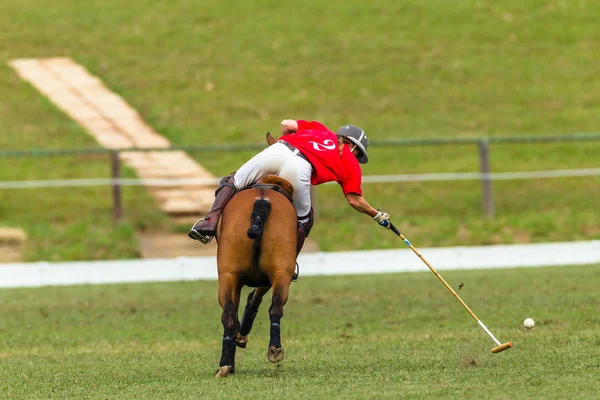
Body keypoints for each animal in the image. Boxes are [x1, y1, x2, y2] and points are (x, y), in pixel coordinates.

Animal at [212, 173, 298, 376]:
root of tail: (262, 200)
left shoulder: (240, 279)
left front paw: (238, 340)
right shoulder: (269, 276)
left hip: (228, 275)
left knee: (229, 314)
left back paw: (225, 365)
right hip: (281, 271)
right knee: (276, 306)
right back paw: (274, 349)